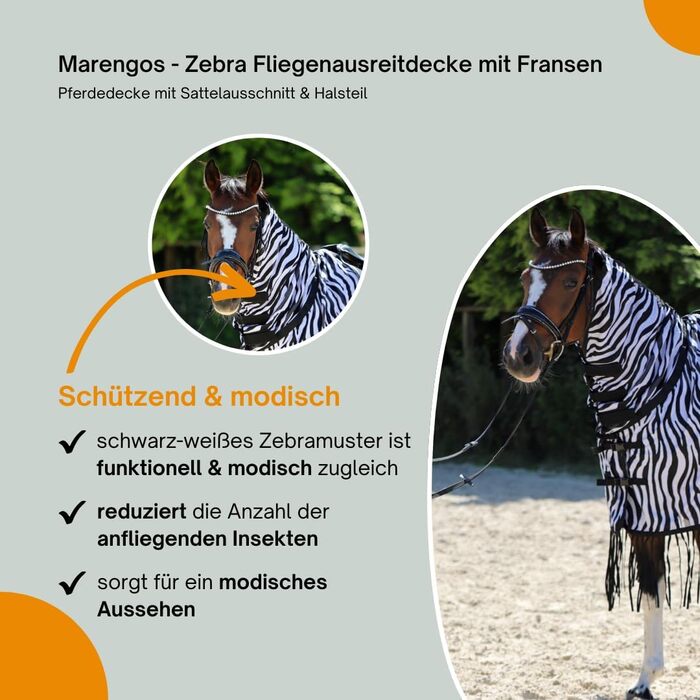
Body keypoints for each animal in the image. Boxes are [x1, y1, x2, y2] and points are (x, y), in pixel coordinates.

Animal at [503, 208, 700, 699]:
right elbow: (650, 592)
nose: (518, 357)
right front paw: (645, 680)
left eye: (572, 282)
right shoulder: (643, 513)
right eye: (525, 278)